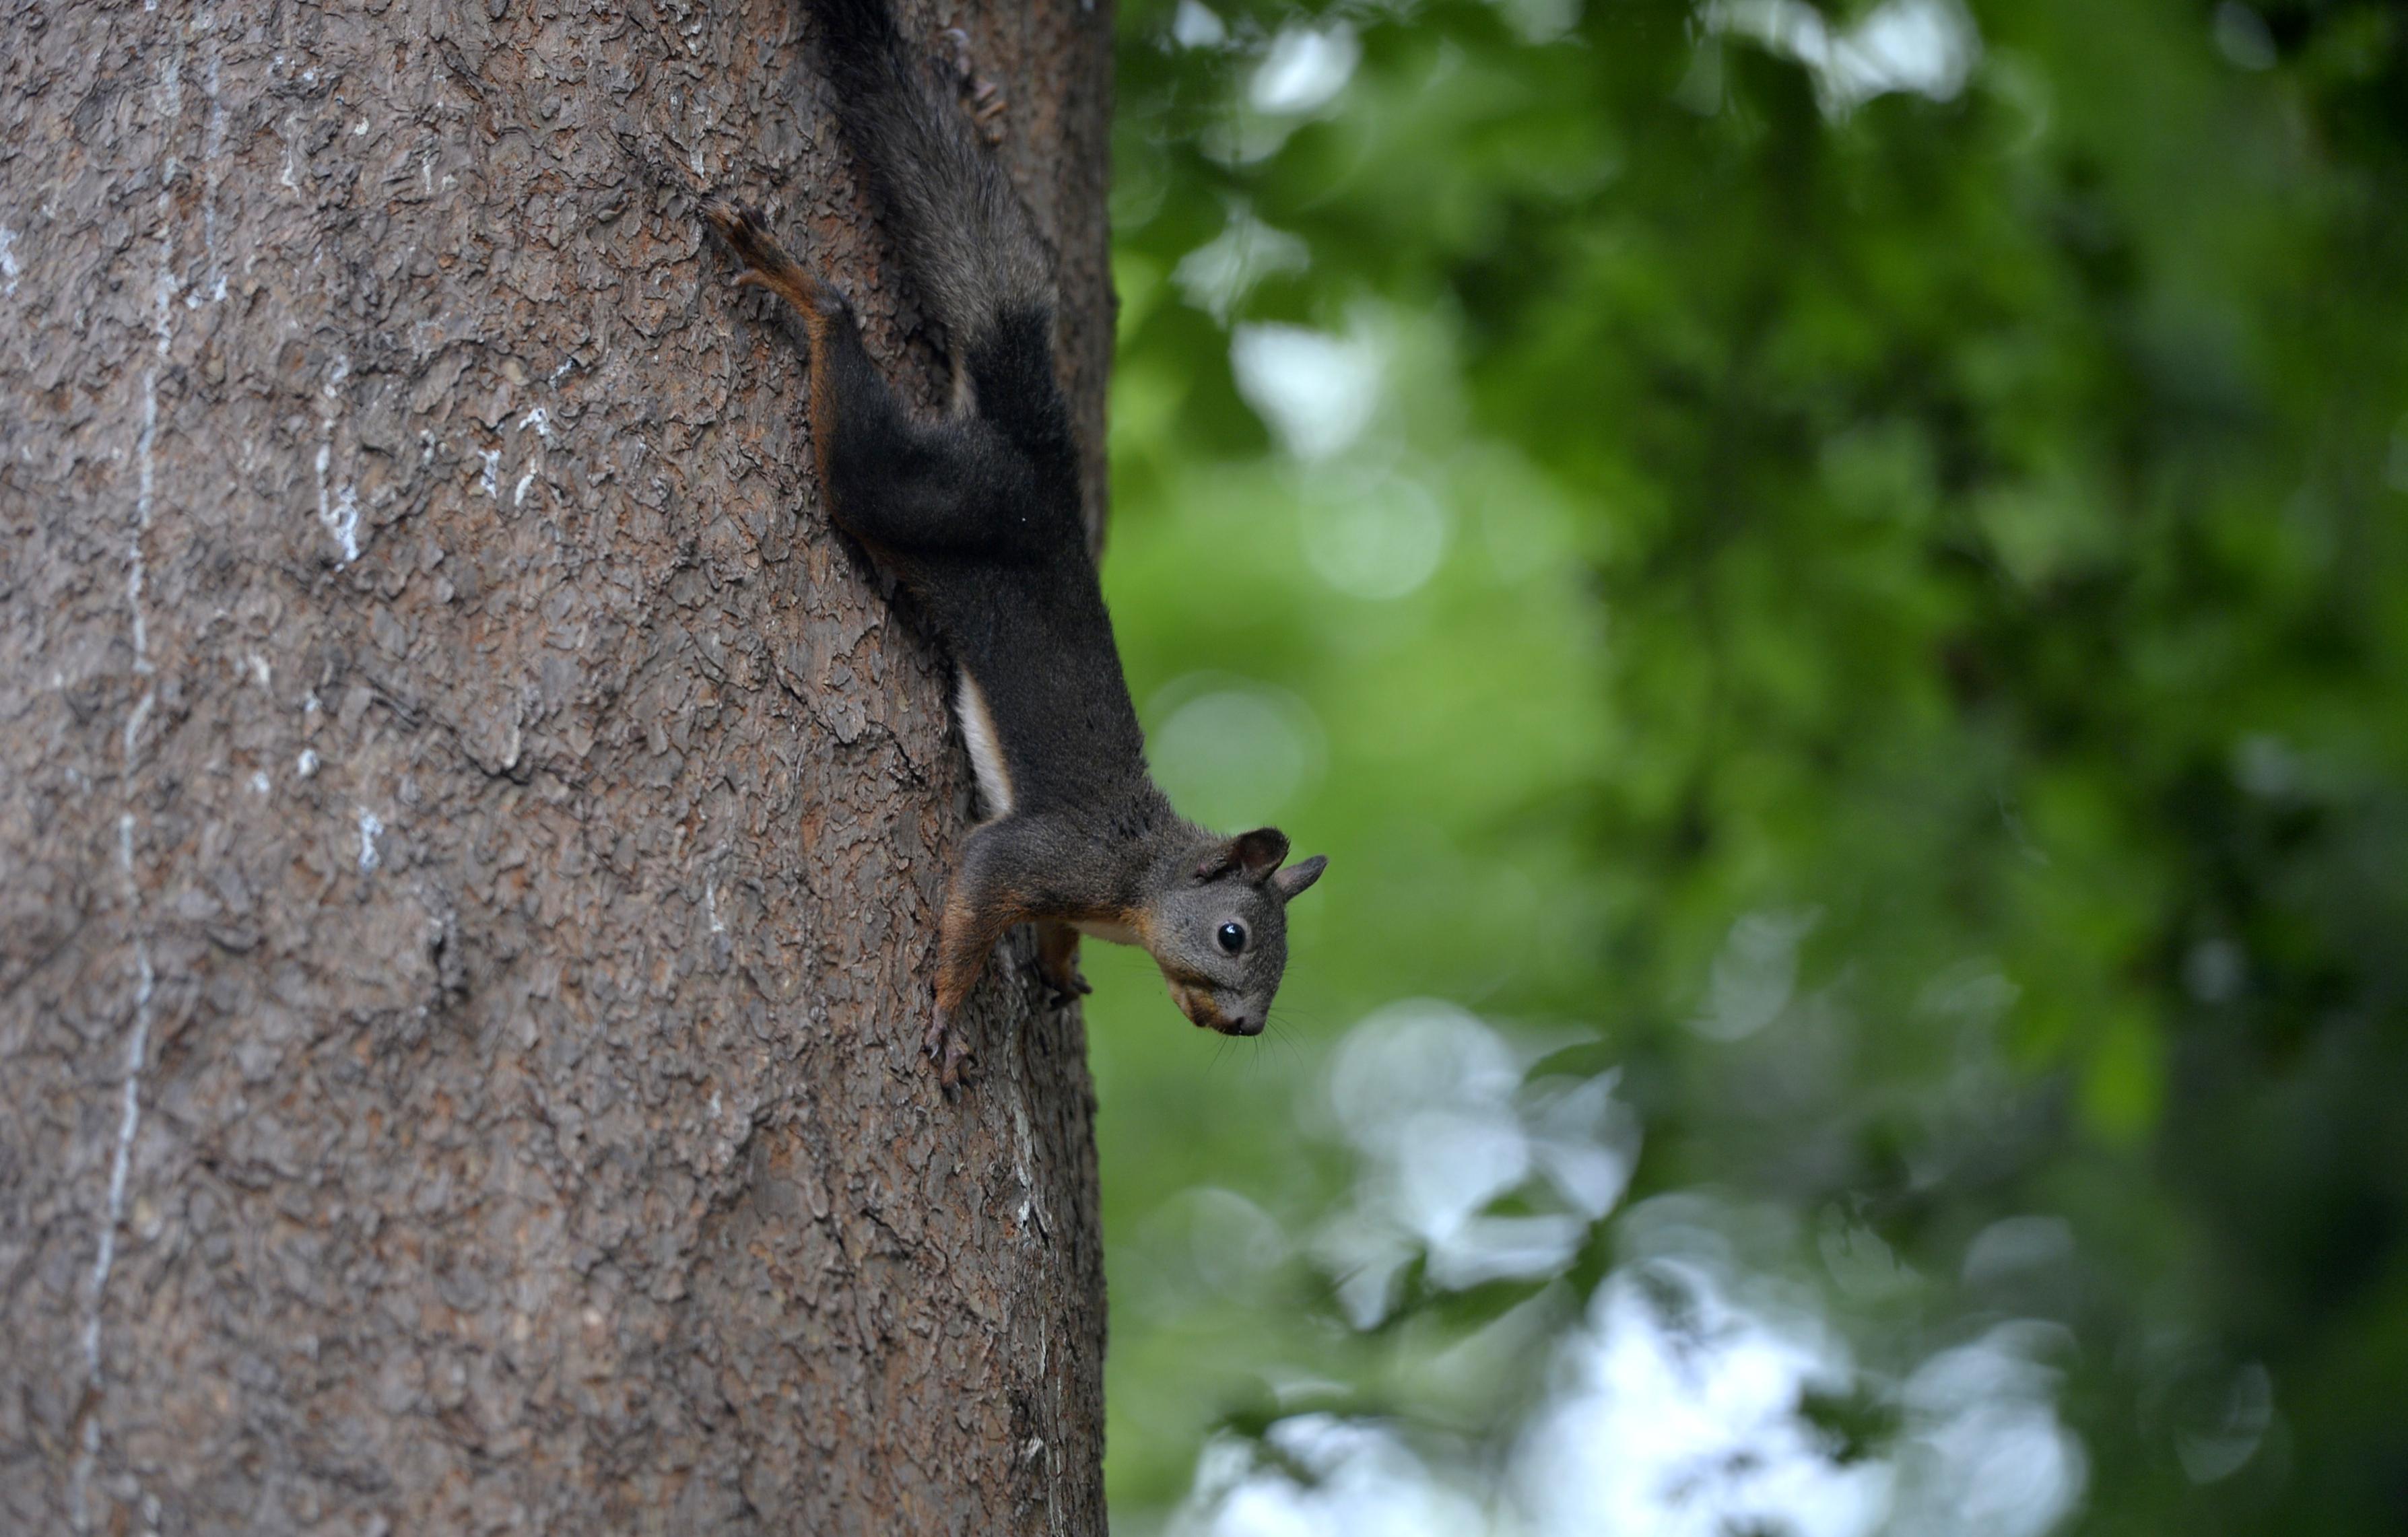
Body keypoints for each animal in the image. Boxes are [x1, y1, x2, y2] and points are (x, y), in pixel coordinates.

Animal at [703, 0, 1329, 1089]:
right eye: (1234, 937)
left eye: (1280, 964)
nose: (1248, 1026)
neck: (1138, 878)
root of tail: (1037, 464)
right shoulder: (1044, 853)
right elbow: (974, 901)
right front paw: (951, 1013)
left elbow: (1056, 935)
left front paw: (1059, 966)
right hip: (923, 495)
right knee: (859, 427)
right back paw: (808, 289)